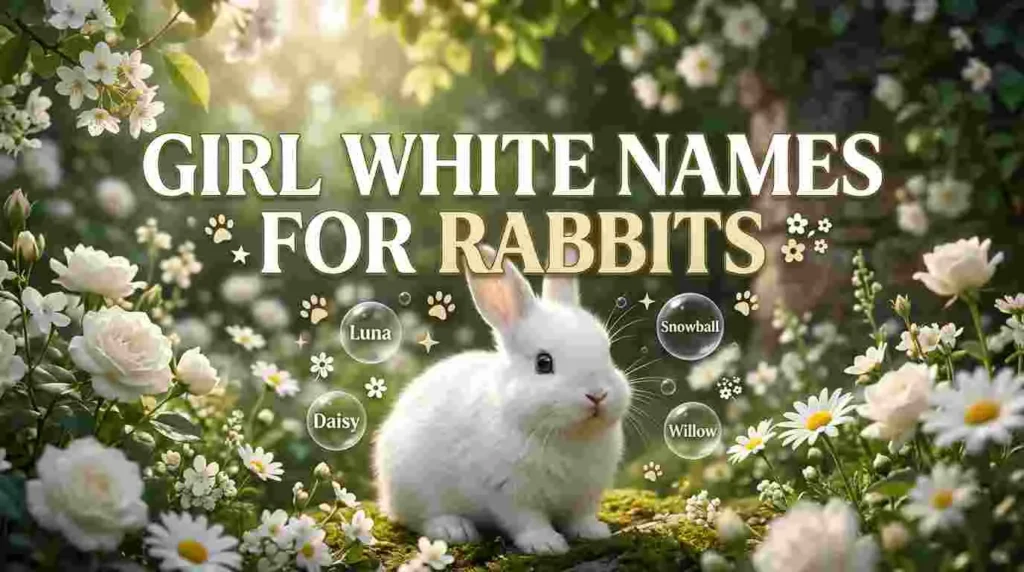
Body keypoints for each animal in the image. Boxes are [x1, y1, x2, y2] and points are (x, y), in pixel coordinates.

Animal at [373, 245, 632, 555]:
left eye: (608, 351)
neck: (565, 435)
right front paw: (546, 545)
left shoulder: (586, 494)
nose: (597, 395)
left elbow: (581, 516)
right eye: (543, 363)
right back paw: (454, 529)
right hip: (413, 486)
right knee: (422, 518)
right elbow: (528, 521)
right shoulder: (509, 494)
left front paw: (594, 532)